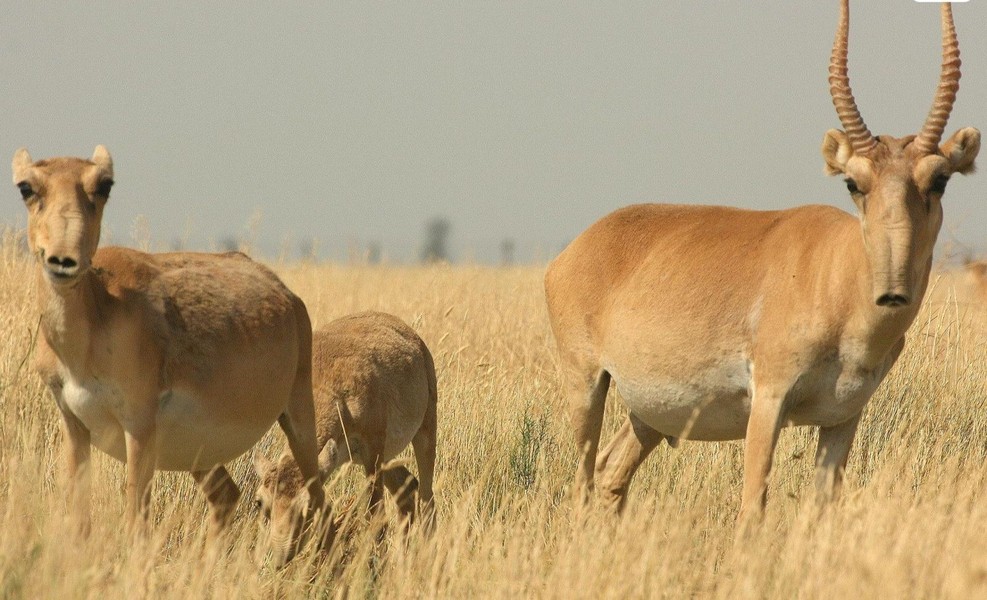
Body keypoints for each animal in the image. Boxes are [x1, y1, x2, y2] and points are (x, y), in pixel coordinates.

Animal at [11, 144, 324, 536]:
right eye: (26, 187)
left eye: (104, 184)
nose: (63, 260)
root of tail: (287, 295)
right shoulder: (74, 426)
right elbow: (80, 522)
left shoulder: (139, 429)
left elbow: (135, 522)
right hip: (201, 455)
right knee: (227, 496)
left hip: (299, 423)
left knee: (322, 503)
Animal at [253, 312, 438, 568]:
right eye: (260, 502)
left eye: (307, 506)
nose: (281, 558)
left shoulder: (372, 451)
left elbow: (376, 517)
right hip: (384, 458)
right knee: (407, 487)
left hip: (424, 432)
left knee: (427, 499)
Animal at [544, 0, 984, 516]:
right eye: (853, 182)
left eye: (940, 179)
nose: (893, 292)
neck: (835, 273)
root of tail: (579, 247)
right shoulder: (768, 402)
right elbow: (753, 504)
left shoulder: (842, 417)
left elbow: (822, 505)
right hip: (587, 384)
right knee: (583, 478)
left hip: (647, 414)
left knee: (611, 470)